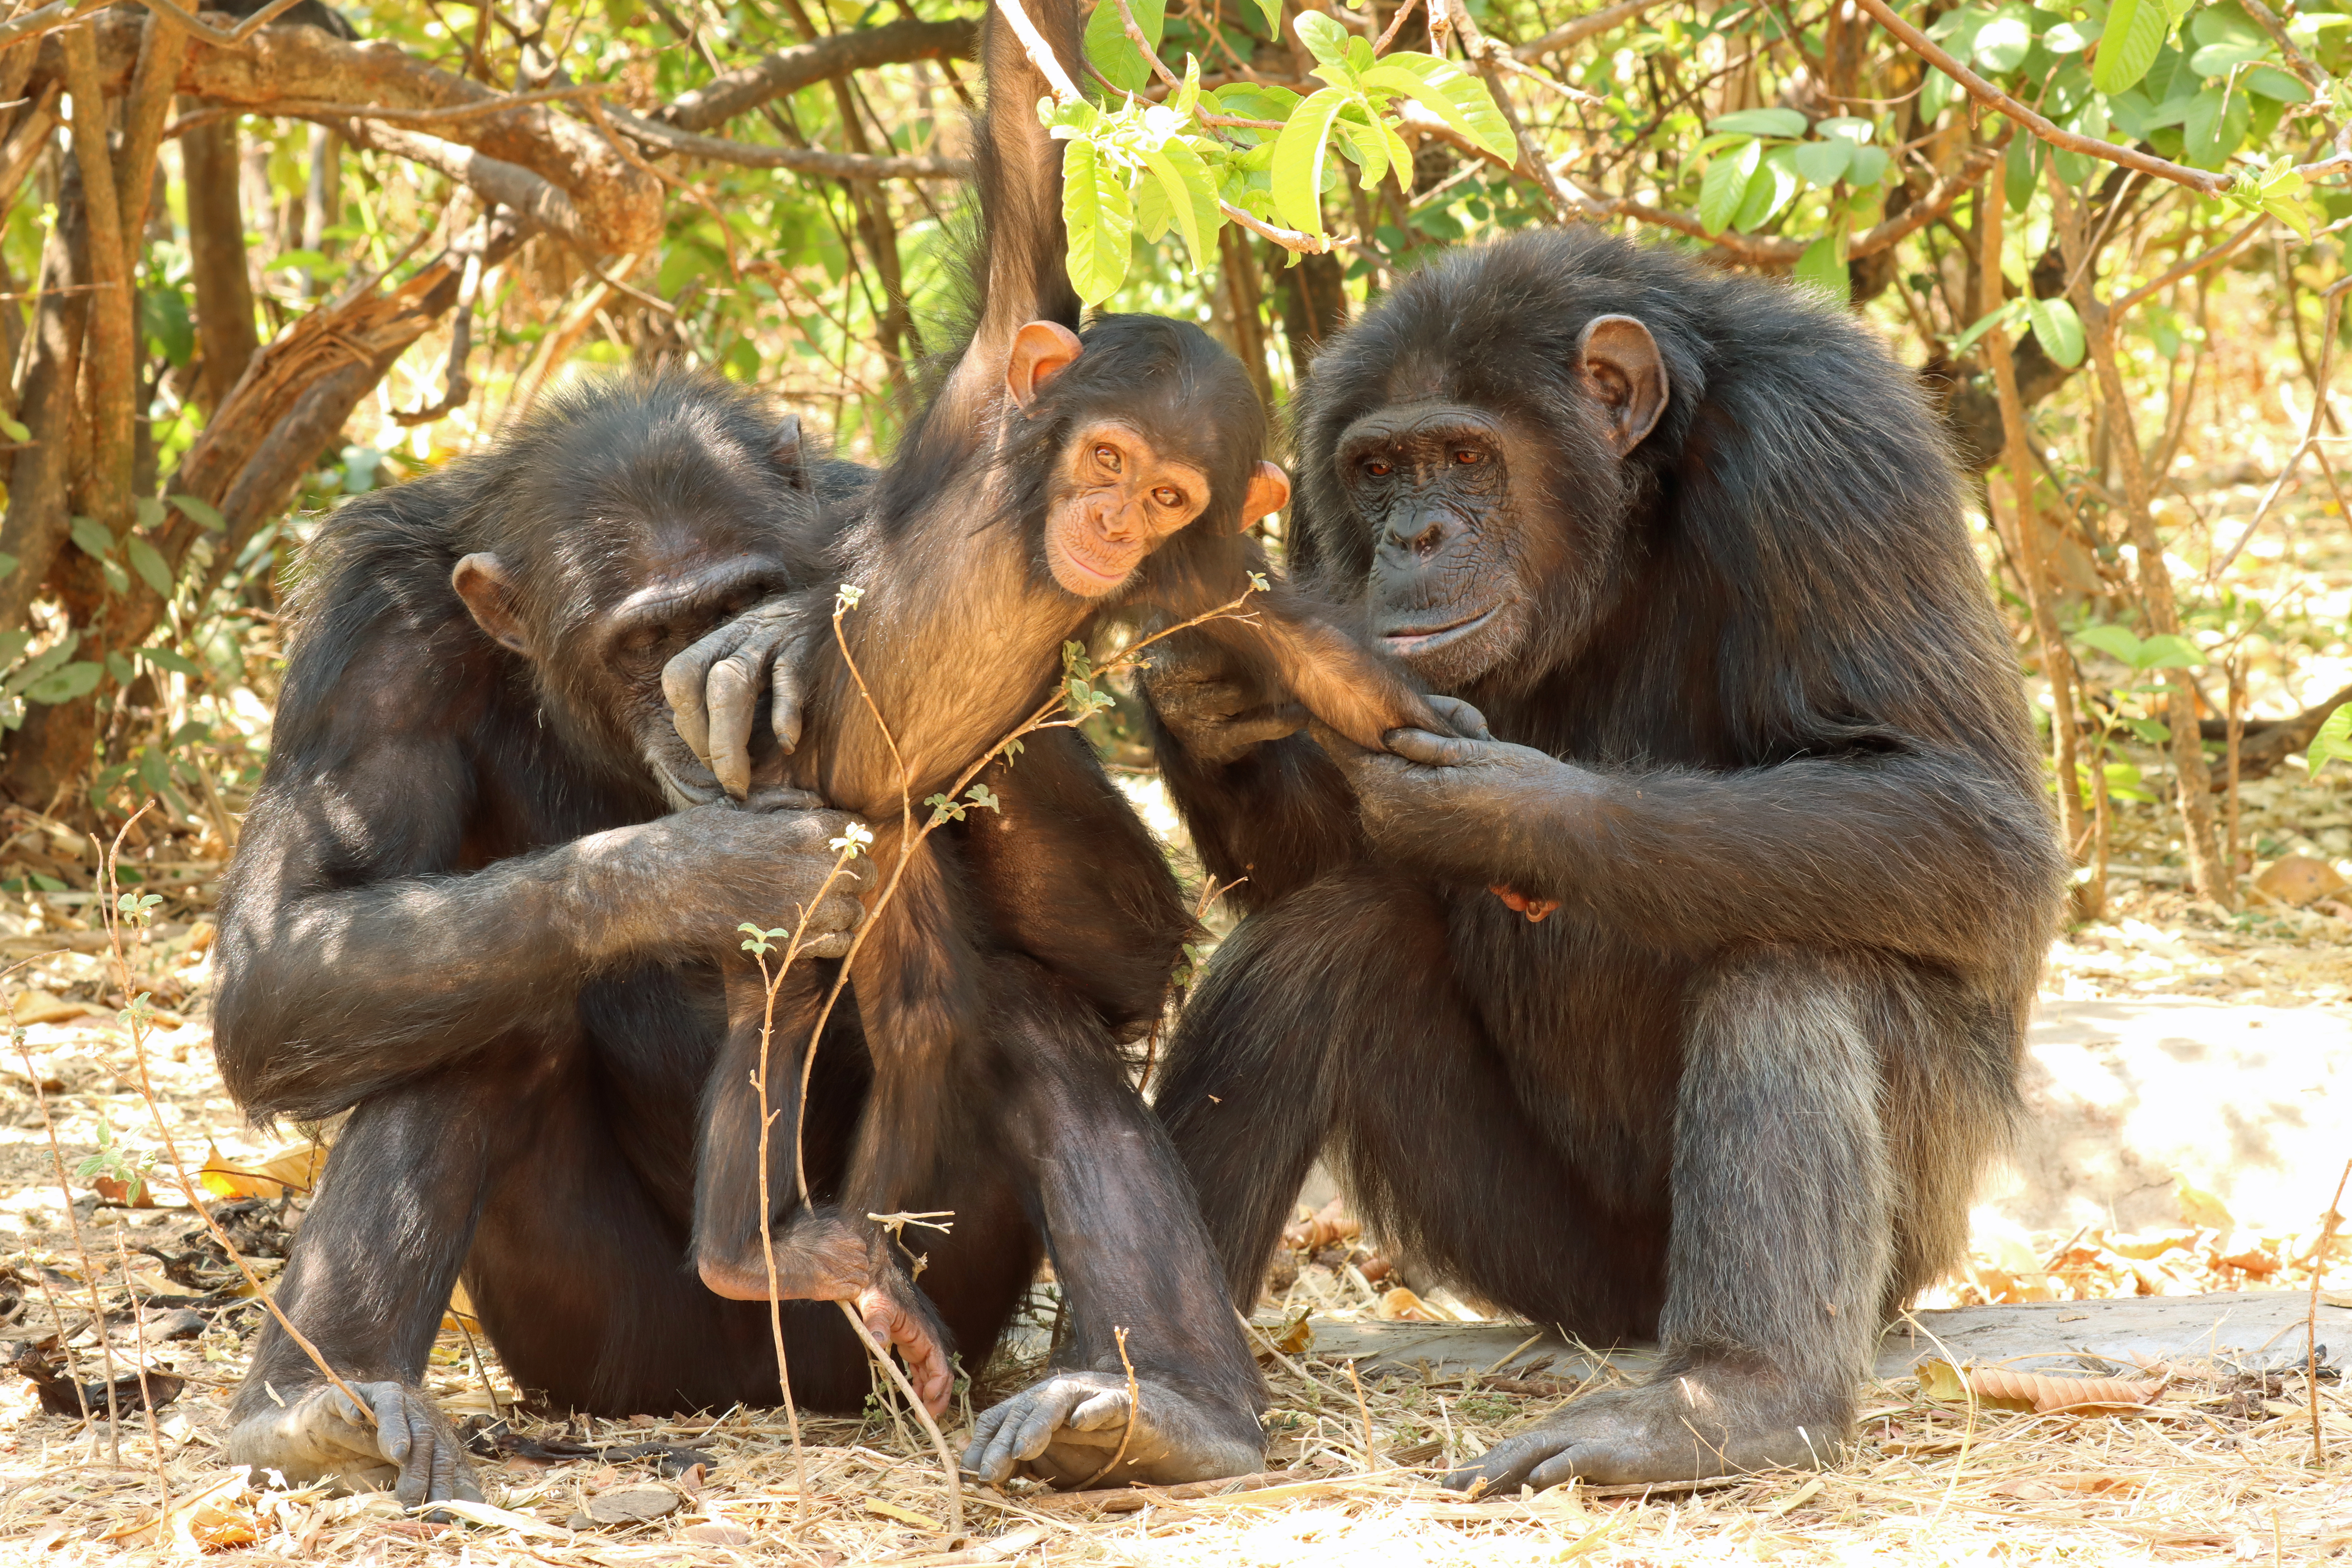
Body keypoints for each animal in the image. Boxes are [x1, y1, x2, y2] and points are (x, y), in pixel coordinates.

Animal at [209, 369, 1270, 1504]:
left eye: (734, 604)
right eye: (642, 642)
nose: (705, 679)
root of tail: (737, 1400)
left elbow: (1128, 952)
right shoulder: (380, 648)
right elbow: (284, 951)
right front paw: (724, 870)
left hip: (883, 1315)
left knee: (1027, 1008)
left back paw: (1171, 1411)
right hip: (604, 1347)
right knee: (480, 1018)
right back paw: (320, 1409)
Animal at [1129, 227, 2069, 1495]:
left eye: (1464, 456)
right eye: (1378, 471)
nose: (1415, 537)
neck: (1626, 521)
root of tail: (1629, 1320)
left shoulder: (1830, 445)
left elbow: (1965, 810)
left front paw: (1498, 809)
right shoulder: (1319, 540)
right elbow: (1300, 859)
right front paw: (1202, 681)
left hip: (1914, 1221)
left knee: (1792, 970)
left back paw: (1729, 1402)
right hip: (1541, 1258)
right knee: (1321, 933)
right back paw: (1158, 1396)